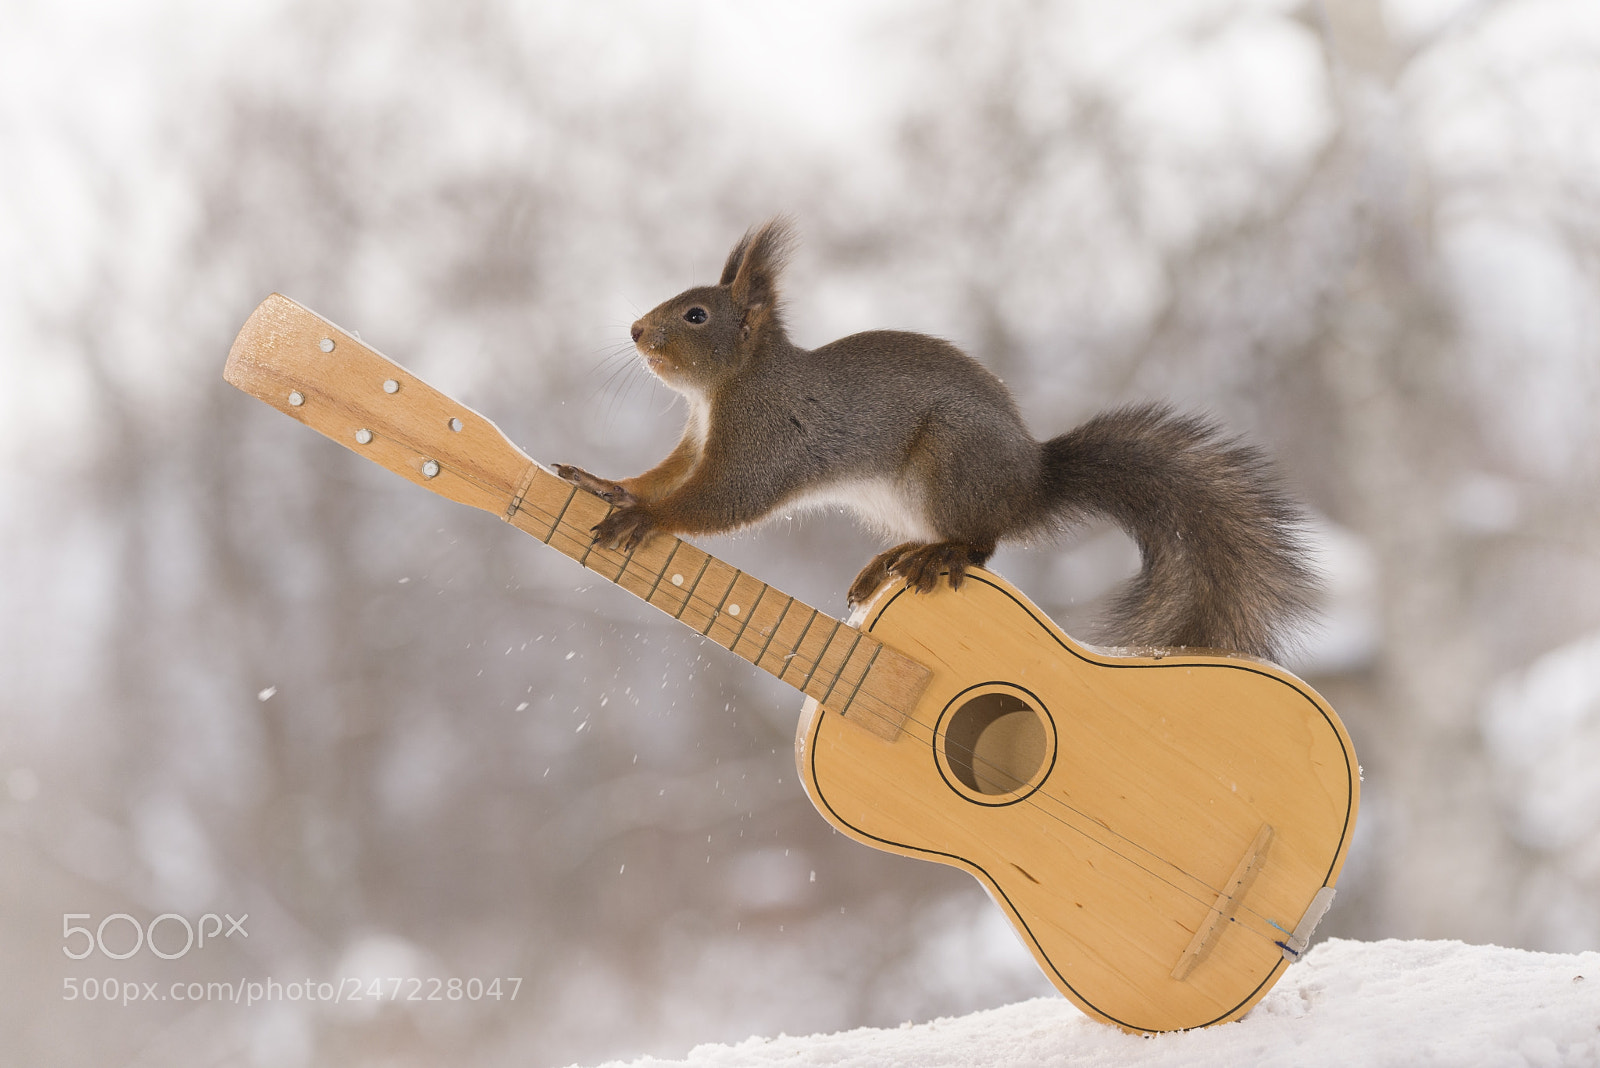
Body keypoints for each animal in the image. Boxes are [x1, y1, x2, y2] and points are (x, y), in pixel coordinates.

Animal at [556, 219, 1316, 662]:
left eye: (695, 315)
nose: (634, 331)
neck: (724, 391)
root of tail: (1029, 484)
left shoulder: (761, 440)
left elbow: (721, 501)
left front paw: (646, 519)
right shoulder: (695, 441)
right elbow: (661, 475)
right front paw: (608, 485)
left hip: (952, 466)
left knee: (982, 544)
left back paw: (935, 556)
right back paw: (896, 558)